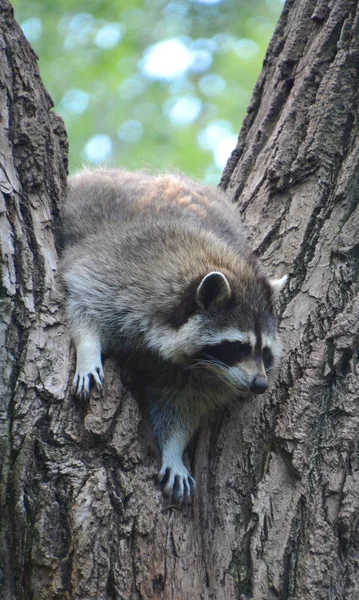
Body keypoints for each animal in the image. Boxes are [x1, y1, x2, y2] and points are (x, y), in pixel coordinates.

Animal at [61, 168, 286, 502]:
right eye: (238, 346)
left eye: (265, 352)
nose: (260, 384)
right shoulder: (117, 274)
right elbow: (82, 303)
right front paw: (88, 350)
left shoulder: (197, 377)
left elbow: (179, 408)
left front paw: (173, 450)